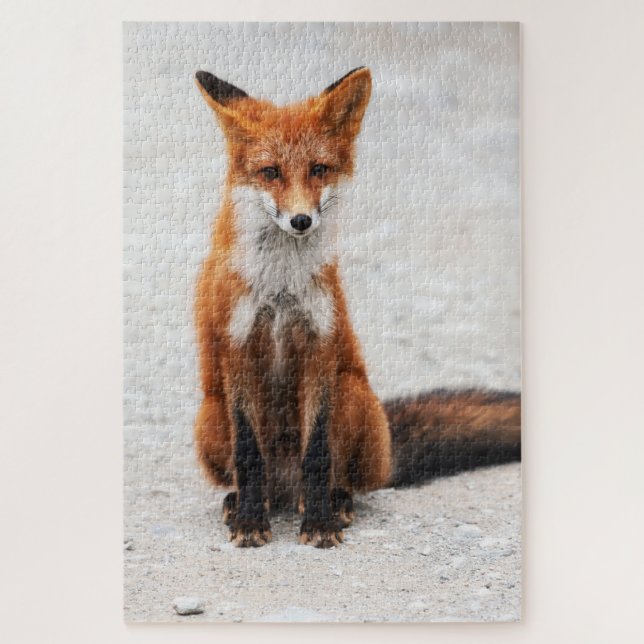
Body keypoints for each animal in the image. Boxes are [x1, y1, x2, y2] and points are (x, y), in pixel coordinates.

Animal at [193, 67, 521, 549]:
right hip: (210, 417)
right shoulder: (238, 349)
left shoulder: (321, 346)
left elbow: (317, 453)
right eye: (270, 172)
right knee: (252, 472)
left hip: (353, 394)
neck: (281, 288)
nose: (301, 220)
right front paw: (252, 520)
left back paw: (334, 501)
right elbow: (249, 452)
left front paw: (320, 523)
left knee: (341, 476)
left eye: (318, 169)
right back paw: (243, 501)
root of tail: (285, 487)